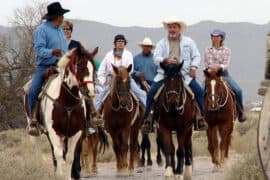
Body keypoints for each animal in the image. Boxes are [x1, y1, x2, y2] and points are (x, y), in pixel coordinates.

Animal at [23, 45, 98, 179]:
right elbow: (59, 155)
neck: (67, 102)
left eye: (93, 68)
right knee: (39, 150)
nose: (90, 92)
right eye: (80, 66)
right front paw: (60, 175)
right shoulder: (54, 131)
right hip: (36, 132)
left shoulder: (76, 133)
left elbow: (69, 157)